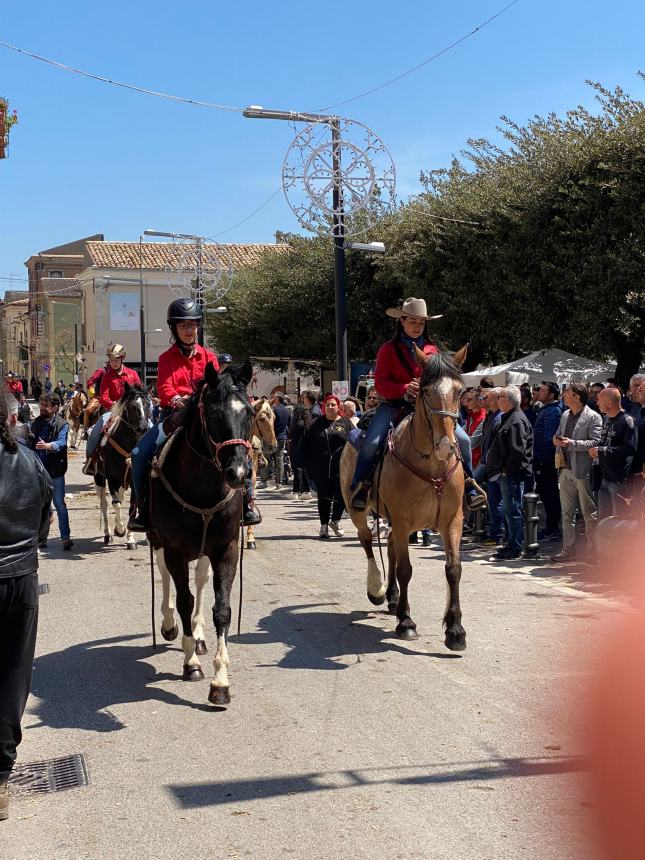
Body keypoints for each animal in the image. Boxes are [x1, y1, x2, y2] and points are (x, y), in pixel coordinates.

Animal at [93, 384, 150, 552]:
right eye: (132, 405)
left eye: (147, 404)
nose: (143, 428)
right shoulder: (112, 479)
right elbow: (116, 504)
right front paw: (120, 530)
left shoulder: (134, 481)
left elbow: (131, 508)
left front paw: (130, 539)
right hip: (99, 478)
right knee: (104, 505)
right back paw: (107, 534)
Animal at [146, 362, 254, 704]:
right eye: (214, 413)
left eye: (249, 412)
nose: (238, 473)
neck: (204, 486)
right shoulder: (174, 549)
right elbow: (183, 599)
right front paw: (190, 662)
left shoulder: (226, 548)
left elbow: (222, 609)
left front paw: (220, 682)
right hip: (159, 542)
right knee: (165, 576)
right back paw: (170, 626)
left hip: (205, 550)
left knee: (202, 580)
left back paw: (200, 635)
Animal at [340, 346, 466, 648]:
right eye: (426, 390)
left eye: (459, 391)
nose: (445, 445)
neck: (433, 467)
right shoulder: (402, 520)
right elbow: (406, 569)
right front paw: (406, 621)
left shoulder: (452, 521)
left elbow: (453, 569)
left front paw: (455, 630)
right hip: (358, 510)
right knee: (367, 542)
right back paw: (377, 588)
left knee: (388, 547)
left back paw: (393, 597)